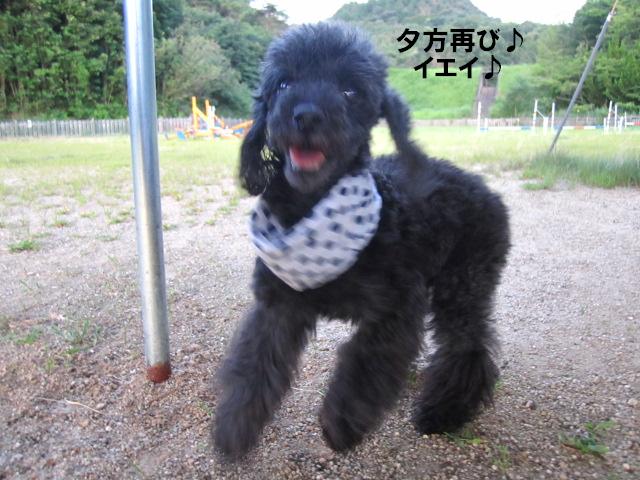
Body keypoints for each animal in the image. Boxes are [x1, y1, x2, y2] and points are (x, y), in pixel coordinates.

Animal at [213, 22, 510, 459]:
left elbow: (365, 362)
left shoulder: (396, 306)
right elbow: (253, 364)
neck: (312, 209)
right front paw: (235, 426)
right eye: (283, 84)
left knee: (468, 347)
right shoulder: (278, 305)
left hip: (464, 283)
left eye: (349, 91)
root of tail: (485, 188)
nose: (306, 115)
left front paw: (342, 422)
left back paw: (444, 412)